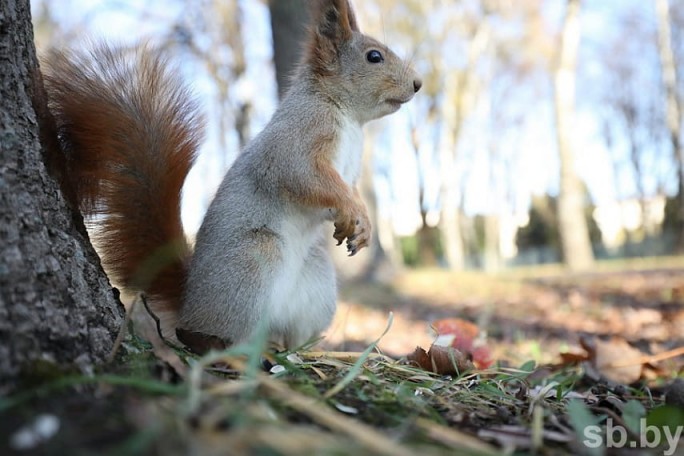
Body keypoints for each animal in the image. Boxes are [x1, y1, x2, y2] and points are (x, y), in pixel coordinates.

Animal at [41, 0, 422, 352]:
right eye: (374, 56)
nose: (418, 84)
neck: (349, 118)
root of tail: (189, 303)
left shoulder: (350, 169)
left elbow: (350, 190)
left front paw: (362, 222)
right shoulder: (299, 139)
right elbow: (306, 178)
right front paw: (352, 211)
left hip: (315, 282)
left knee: (292, 331)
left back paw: (299, 353)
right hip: (254, 261)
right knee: (215, 336)